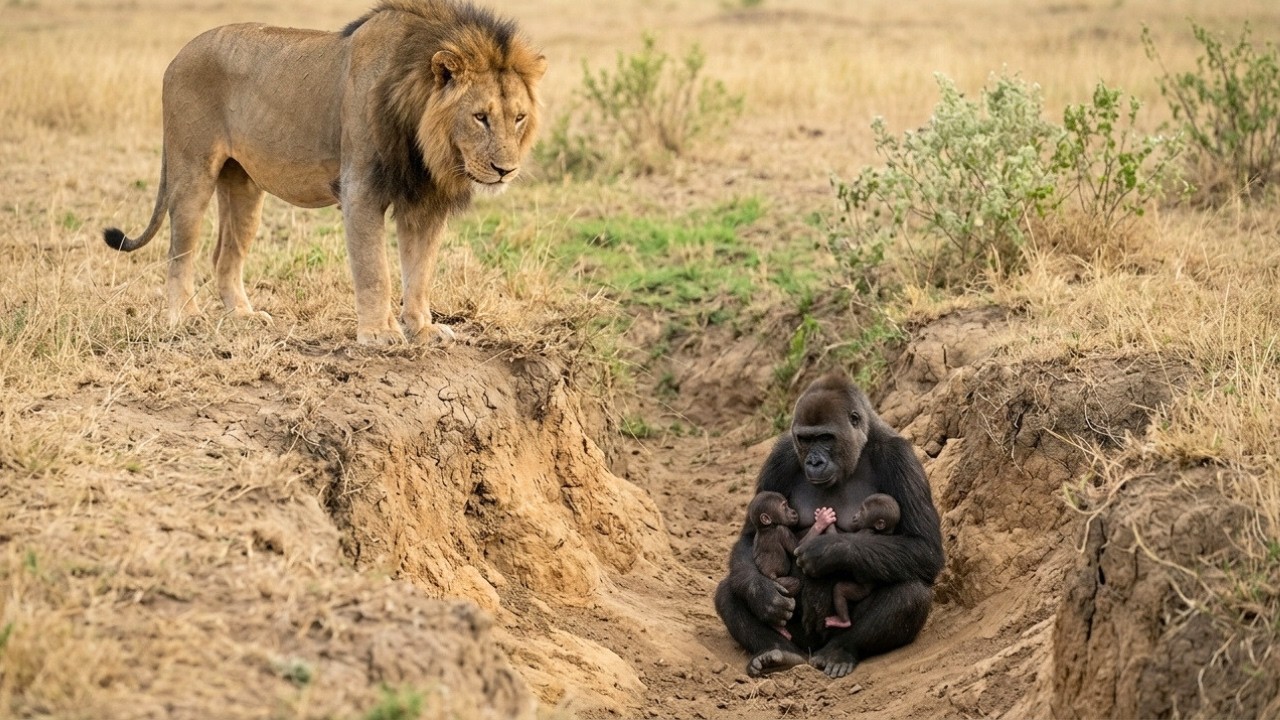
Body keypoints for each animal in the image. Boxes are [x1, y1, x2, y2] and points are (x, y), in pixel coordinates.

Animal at [103, 0, 546, 344]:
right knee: (181, 251)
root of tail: (177, 55)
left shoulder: (424, 200)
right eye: (480, 117)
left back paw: (243, 317)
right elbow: (374, 269)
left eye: (519, 117)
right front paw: (380, 333)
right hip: (192, 170)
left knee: (224, 254)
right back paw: (187, 317)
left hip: (243, 185)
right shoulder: (360, 189)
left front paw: (422, 329)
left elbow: (420, 271)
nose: (505, 170)